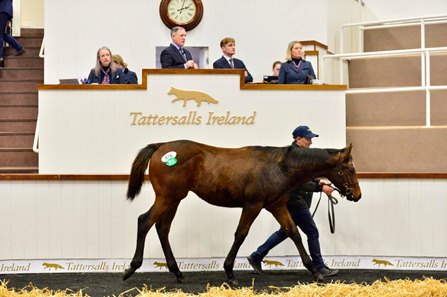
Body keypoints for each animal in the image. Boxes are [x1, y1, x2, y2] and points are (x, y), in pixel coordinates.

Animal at [124, 140, 362, 284]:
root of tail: (161, 147)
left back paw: (177, 272)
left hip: (174, 199)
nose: (357, 195)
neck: (279, 167)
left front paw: (315, 270)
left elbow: (293, 231)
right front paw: (230, 272)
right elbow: (241, 234)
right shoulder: (253, 205)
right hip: (167, 198)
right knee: (144, 221)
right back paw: (131, 268)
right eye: (350, 169)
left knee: (162, 228)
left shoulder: (277, 205)